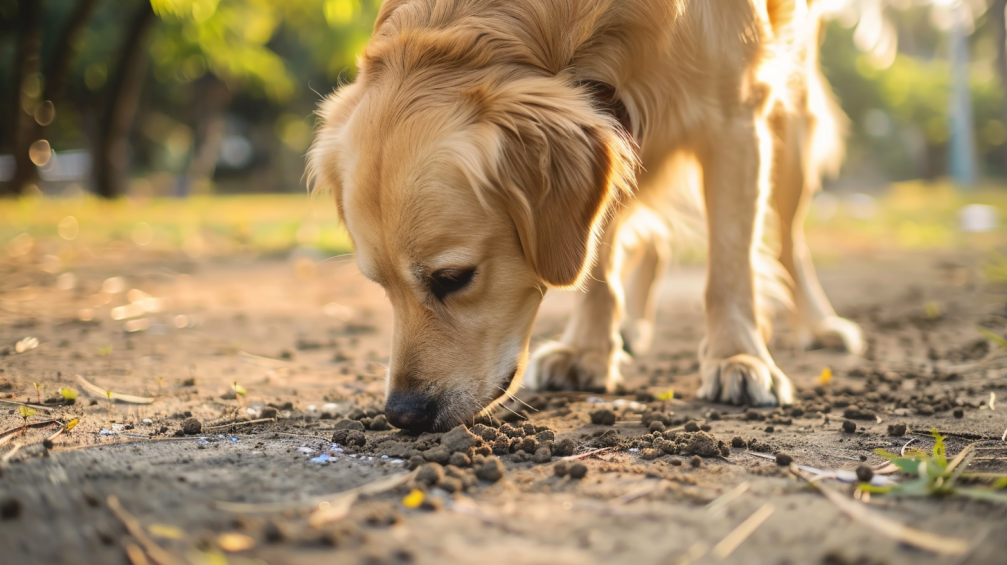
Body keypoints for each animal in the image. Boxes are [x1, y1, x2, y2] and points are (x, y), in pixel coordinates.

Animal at [308, 1, 866, 431]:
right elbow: (596, 262)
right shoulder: (610, 140)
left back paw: (820, 324)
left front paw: (737, 356)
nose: (403, 415)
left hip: (792, 124)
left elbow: (731, 265)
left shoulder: (735, 116)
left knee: (789, 242)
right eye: (379, 285)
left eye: (453, 278)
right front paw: (587, 351)